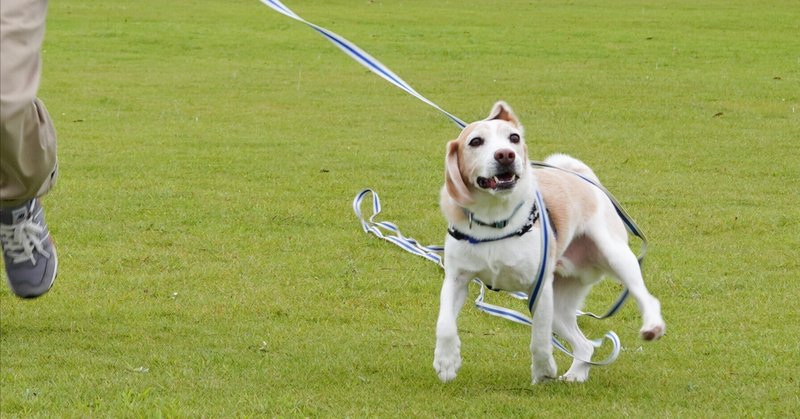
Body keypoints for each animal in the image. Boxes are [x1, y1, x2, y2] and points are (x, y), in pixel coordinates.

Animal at [434, 101, 664, 384]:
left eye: (514, 138)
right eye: (475, 141)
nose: (506, 155)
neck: (495, 219)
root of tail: (578, 174)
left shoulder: (540, 288)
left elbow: (539, 337)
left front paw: (544, 368)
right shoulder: (456, 279)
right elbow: (444, 324)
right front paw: (446, 362)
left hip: (615, 254)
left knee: (644, 295)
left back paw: (652, 325)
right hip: (561, 304)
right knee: (585, 345)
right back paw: (576, 374)